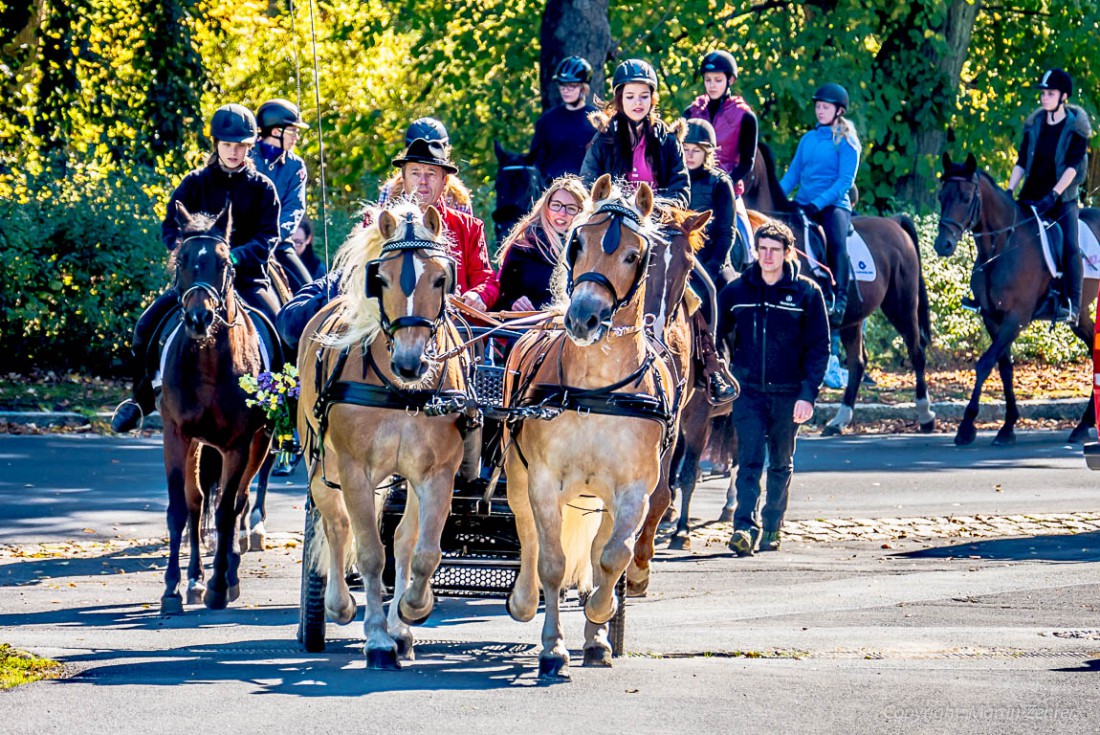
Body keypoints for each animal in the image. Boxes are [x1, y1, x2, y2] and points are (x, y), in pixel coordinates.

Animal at [158, 202, 271, 616]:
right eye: (181, 260)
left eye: (224, 263)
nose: (199, 318)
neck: (207, 363)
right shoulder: (176, 435)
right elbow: (181, 509)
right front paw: (174, 588)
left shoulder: (238, 444)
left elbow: (225, 513)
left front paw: (220, 587)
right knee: (197, 504)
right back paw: (193, 579)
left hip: (258, 444)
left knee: (237, 503)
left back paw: (229, 574)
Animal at [294, 202, 470, 673]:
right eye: (383, 279)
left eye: (440, 278)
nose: (411, 363)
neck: (402, 392)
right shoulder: (355, 470)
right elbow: (370, 551)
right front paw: (376, 639)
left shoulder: (436, 473)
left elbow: (420, 550)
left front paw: (409, 613)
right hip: (321, 461)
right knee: (336, 525)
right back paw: (337, 605)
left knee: (401, 539)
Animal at [503, 174, 673, 682]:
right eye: (577, 243)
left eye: (634, 255)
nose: (582, 317)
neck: (598, 390)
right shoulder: (542, 480)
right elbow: (552, 562)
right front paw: (553, 649)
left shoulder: (635, 489)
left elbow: (611, 557)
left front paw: (600, 617)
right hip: (518, 476)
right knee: (528, 535)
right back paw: (523, 599)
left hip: (599, 498)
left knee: (600, 546)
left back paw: (597, 636)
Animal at [743, 140, 932, 433]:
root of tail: (894, 223)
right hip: (854, 318)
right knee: (858, 363)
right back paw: (839, 420)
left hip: (901, 305)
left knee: (916, 350)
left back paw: (925, 415)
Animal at [932, 151, 1095, 444]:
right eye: (942, 196)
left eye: (966, 197)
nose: (943, 245)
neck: (1002, 247)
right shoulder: (993, 318)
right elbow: (1005, 368)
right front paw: (1007, 426)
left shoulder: (1016, 318)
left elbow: (984, 363)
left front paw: (967, 426)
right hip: (1081, 318)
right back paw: (1083, 425)